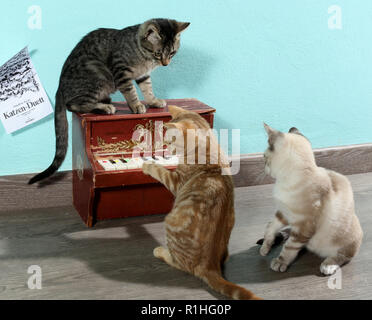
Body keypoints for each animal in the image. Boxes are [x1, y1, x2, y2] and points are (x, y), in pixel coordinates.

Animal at [29, 19, 190, 185]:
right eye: (158, 53)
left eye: (172, 53)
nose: (165, 63)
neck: (142, 54)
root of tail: (59, 87)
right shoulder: (121, 71)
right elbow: (131, 91)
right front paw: (136, 105)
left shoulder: (143, 75)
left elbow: (148, 89)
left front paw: (153, 101)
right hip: (97, 75)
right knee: (74, 104)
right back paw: (104, 107)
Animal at [142, 105, 262, 300]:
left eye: (168, 141)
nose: (165, 152)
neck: (207, 147)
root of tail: (210, 266)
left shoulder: (176, 181)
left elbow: (159, 171)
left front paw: (147, 164)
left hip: (170, 222)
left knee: (179, 263)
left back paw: (161, 251)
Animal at [260, 123, 362, 276]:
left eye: (264, 158)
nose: (265, 169)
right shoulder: (284, 212)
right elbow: (271, 227)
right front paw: (266, 246)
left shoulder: (303, 226)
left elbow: (289, 247)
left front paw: (280, 262)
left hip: (344, 241)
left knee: (344, 256)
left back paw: (328, 266)